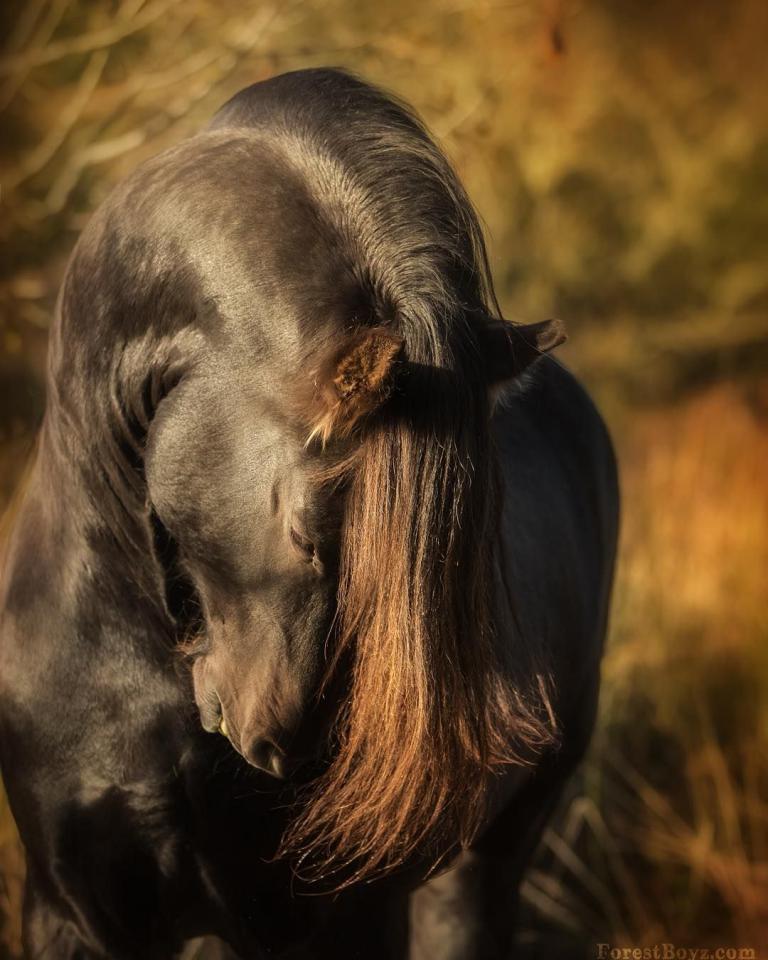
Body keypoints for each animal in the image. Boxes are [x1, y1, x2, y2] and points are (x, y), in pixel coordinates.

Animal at [0, 68, 618, 959]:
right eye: (303, 531)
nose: (284, 746)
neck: (127, 661)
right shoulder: (71, 907)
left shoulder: (325, 918)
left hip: (490, 852)